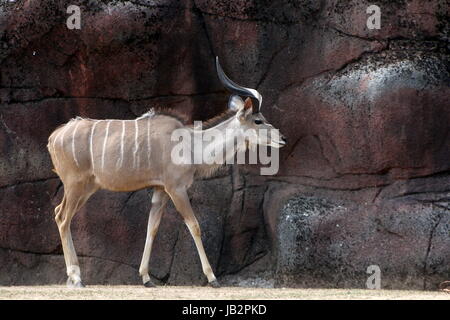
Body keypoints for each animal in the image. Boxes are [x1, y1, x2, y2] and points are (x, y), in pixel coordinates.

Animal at [47, 57, 286, 288]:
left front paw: (146, 278)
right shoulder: (176, 188)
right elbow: (194, 226)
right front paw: (212, 278)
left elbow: (151, 228)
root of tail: (54, 137)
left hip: (87, 187)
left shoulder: (160, 190)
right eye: (258, 120)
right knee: (63, 217)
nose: (283, 138)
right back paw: (77, 278)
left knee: (59, 212)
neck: (191, 144)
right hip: (76, 185)